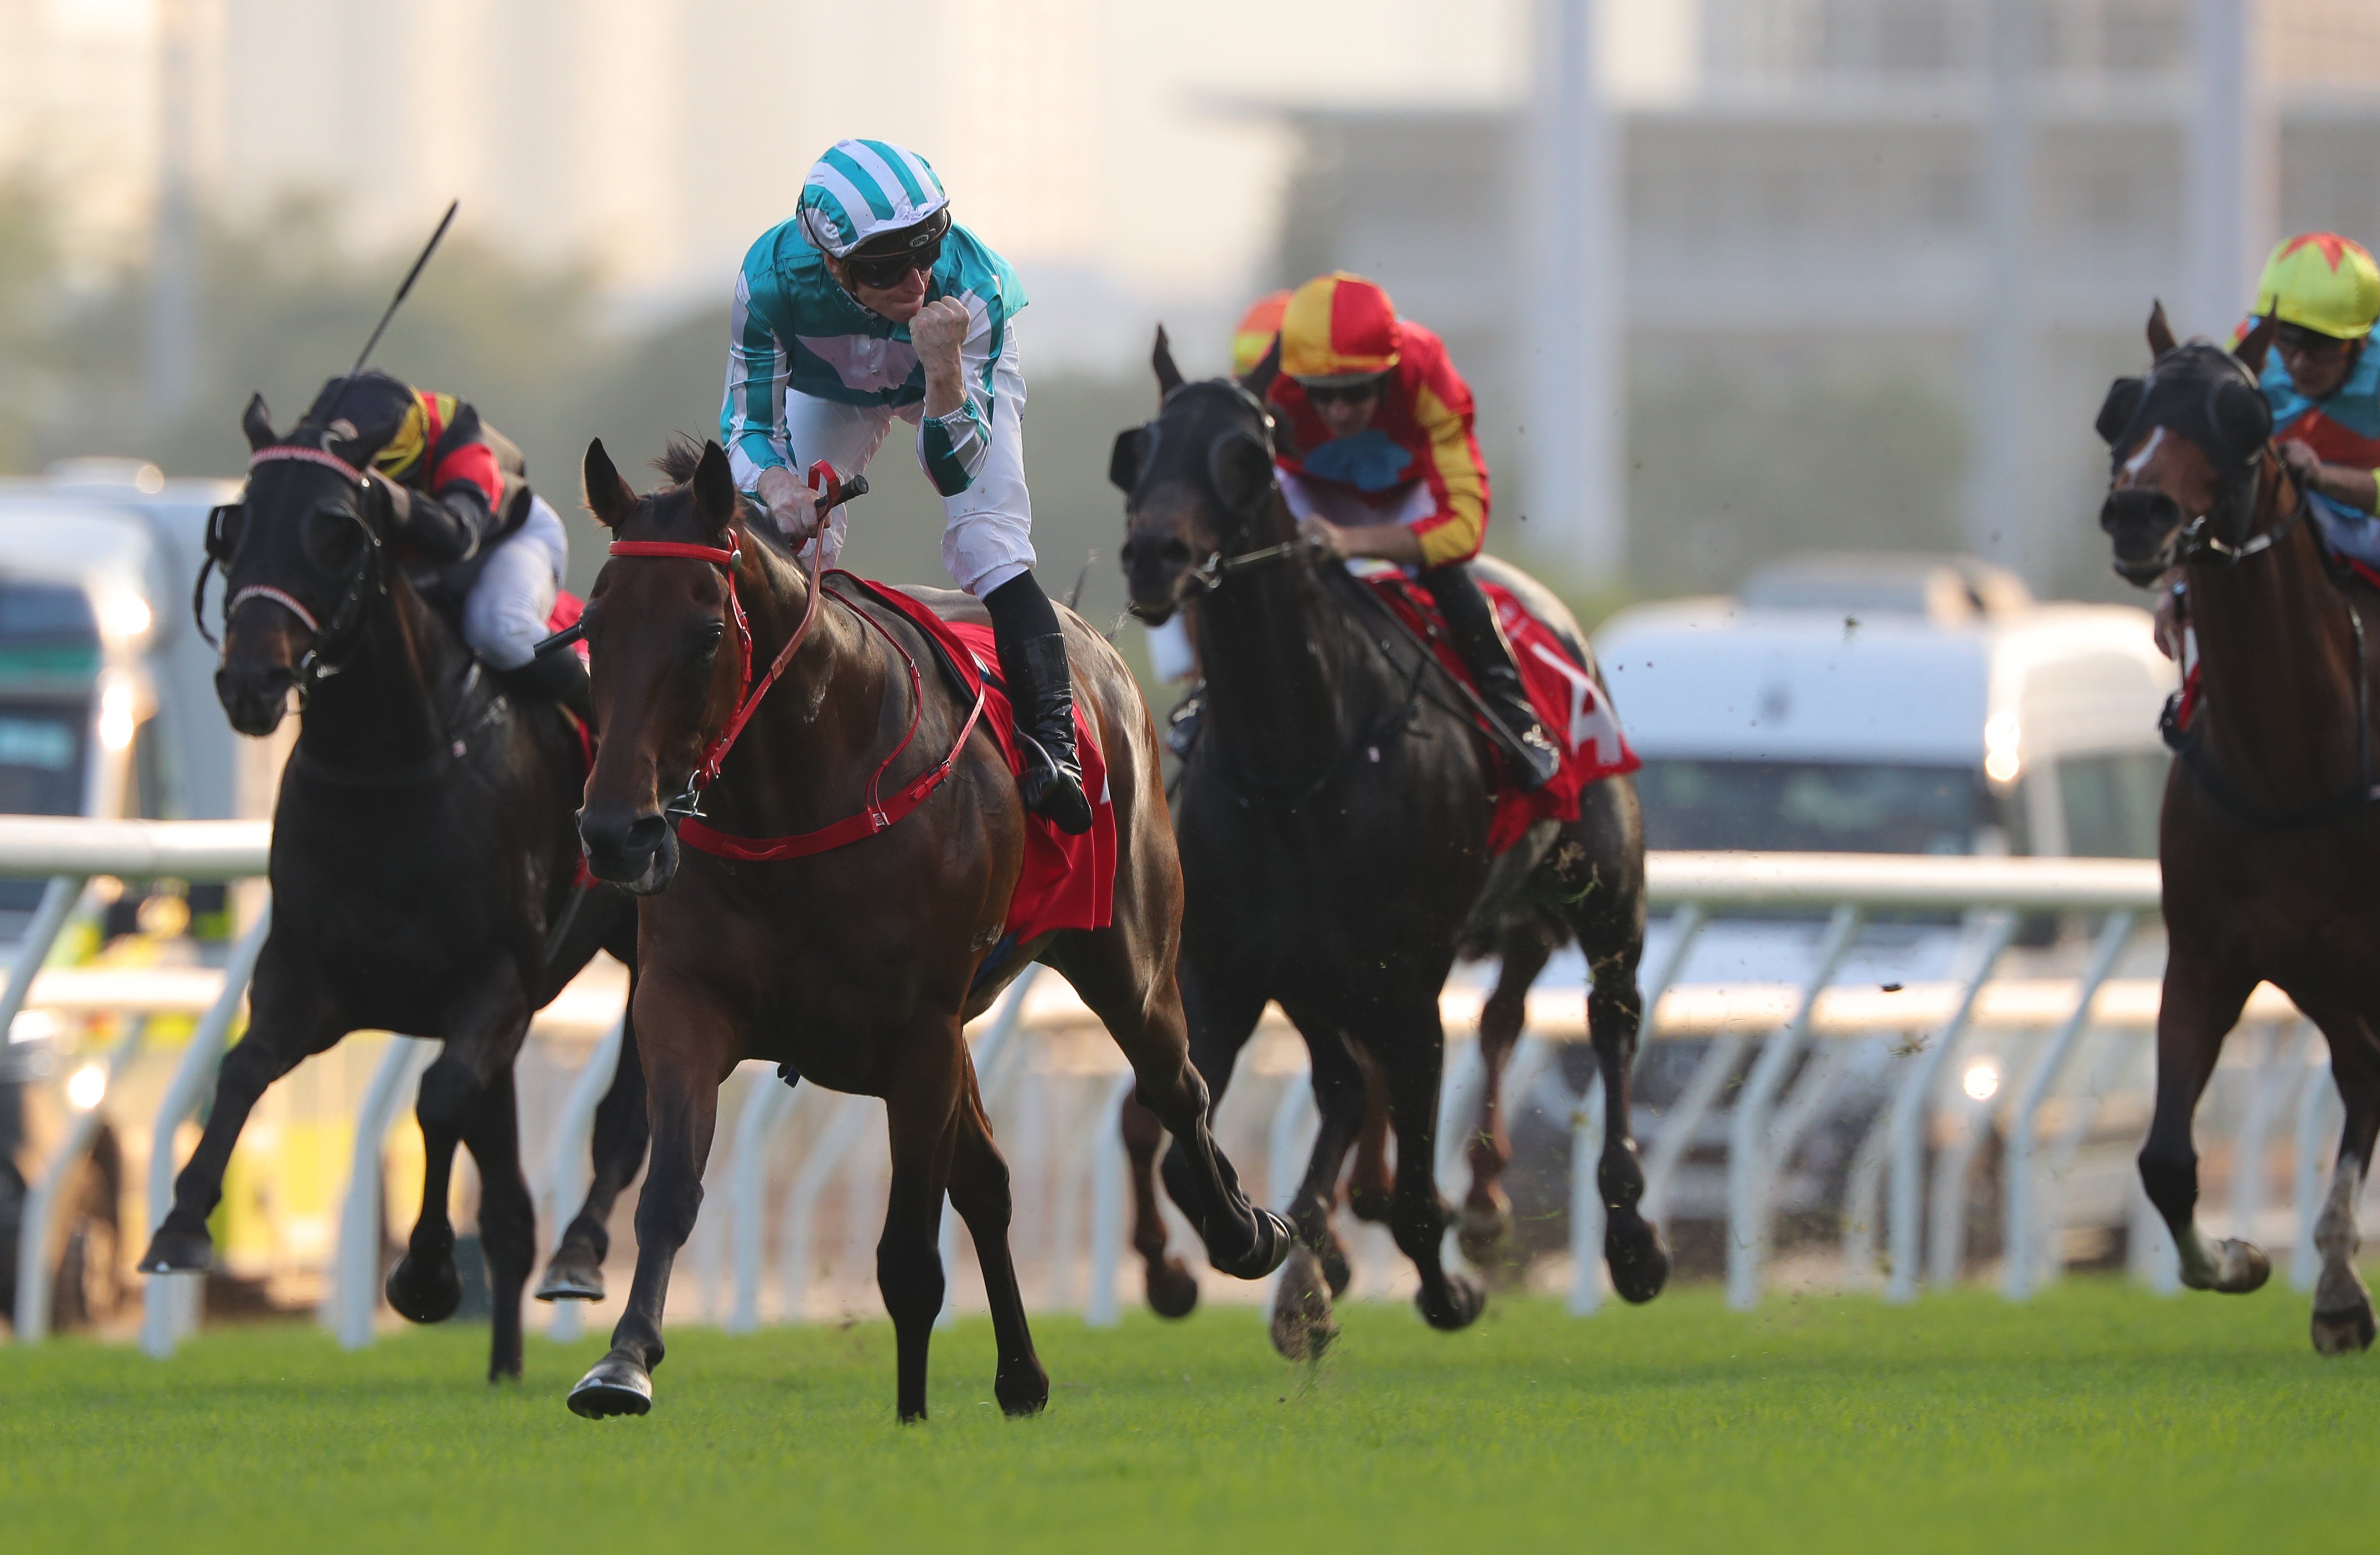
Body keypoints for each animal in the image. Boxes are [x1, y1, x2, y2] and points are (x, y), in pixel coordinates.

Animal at [142, 381, 647, 1381]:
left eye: (335, 532)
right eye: (235, 524)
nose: (250, 680)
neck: (389, 765)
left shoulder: (496, 980)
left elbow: (437, 1098)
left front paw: (424, 1275)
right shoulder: (308, 972)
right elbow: (241, 1067)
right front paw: (180, 1226)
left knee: (628, 1112)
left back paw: (579, 1253)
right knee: (511, 1205)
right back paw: (503, 1366)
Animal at [566, 433, 1294, 1419]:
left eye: (706, 634)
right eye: (592, 630)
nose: (615, 832)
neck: (796, 797)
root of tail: (1095, 644)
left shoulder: (918, 1033)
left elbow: (909, 1252)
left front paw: (910, 1414)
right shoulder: (685, 1003)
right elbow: (671, 1188)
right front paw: (623, 1361)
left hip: (1131, 962)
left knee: (1174, 1087)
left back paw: (1244, 1233)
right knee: (988, 1182)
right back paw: (1021, 1371)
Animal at [1104, 333, 1666, 1352]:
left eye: (1246, 453)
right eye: (1139, 448)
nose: (1155, 556)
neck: (1297, 763)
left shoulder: (1407, 981)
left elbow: (1413, 1196)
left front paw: (1447, 1291)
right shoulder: (1227, 972)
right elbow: (1175, 1150)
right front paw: (1253, 1259)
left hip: (1601, 893)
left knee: (1607, 1018)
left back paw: (1627, 1234)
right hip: (1319, 980)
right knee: (1343, 1083)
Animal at [2103, 303, 2379, 1343]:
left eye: (2237, 417)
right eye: (2124, 409)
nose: (2136, 512)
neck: (2292, 766)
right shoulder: (2208, 956)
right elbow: (2163, 1163)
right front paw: (2237, 1257)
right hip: (2317, 975)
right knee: (2363, 1070)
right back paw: (2336, 1286)